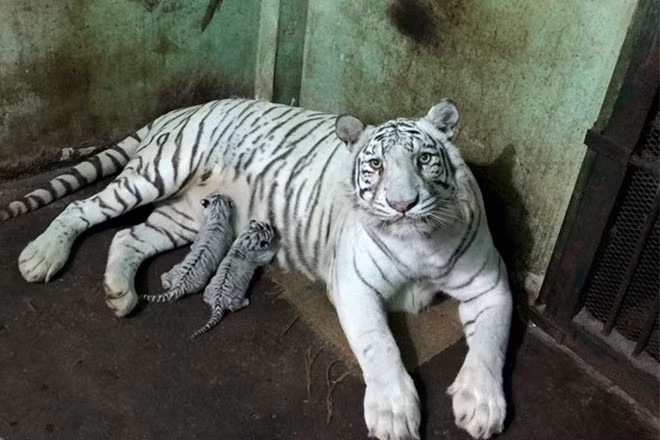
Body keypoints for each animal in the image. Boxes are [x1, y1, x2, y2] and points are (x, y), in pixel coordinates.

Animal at [2, 97, 513, 440]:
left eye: (425, 159)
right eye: (375, 165)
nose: (402, 204)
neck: (418, 242)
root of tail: (188, 107)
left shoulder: (491, 285)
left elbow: (490, 345)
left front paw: (481, 405)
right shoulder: (355, 285)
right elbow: (380, 345)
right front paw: (392, 411)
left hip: (186, 216)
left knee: (127, 237)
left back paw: (120, 293)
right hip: (156, 174)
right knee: (81, 209)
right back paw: (42, 256)